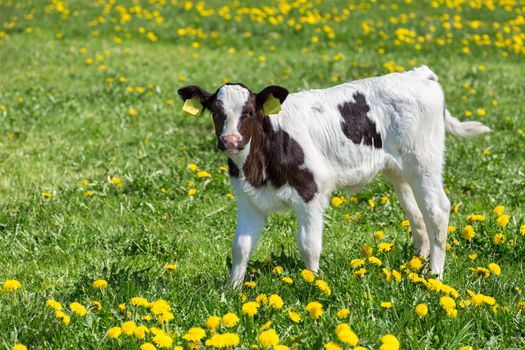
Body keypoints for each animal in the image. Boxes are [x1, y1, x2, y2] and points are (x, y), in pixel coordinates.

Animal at [178, 65, 490, 288]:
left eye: (250, 112)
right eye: (215, 112)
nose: (230, 140)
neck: (259, 162)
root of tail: (419, 74)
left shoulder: (311, 192)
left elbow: (308, 246)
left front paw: (313, 283)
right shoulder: (248, 199)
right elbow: (241, 247)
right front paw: (232, 290)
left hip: (424, 162)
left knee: (436, 210)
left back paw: (435, 275)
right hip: (399, 171)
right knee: (416, 214)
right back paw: (416, 266)